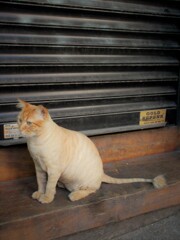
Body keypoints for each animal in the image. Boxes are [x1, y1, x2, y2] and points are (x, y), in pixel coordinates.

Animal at [16, 98, 166, 203]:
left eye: (29, 123)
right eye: (19, 120)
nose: (20, 129)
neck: (35, 141)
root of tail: (101, 173)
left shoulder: (53, 169)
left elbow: (49, 186)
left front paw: (46, 198)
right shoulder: (38, 166)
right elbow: (41, 182)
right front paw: (39, 193)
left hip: (84, 184)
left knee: (91, 190)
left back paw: (73, 194)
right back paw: (62, 185)